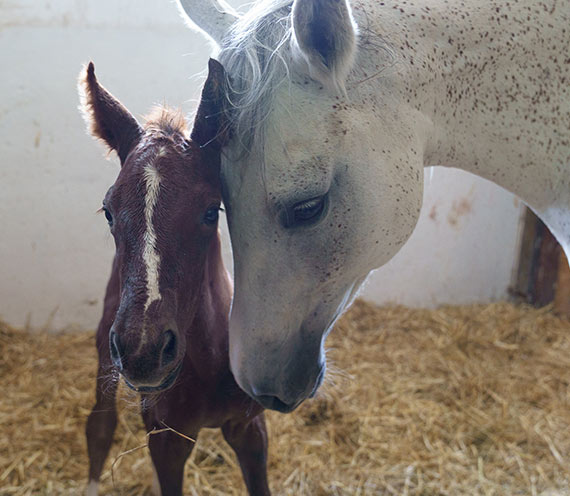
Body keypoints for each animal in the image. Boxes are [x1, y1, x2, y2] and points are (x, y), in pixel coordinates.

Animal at [78, 63, 270, 496]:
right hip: (106, 351)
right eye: (108, 211)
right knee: (99, 426)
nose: (144, 351)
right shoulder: (169, 439)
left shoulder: (250, 427)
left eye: (212, 211)